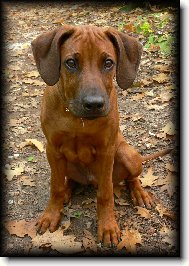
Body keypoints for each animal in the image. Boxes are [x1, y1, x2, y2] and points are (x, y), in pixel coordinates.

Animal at [31, 25, 171, 247]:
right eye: (71, 63)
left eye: (108, 63)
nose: (94, 104)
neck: (78, 120)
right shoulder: (52, 149)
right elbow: (56, 187)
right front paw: (51, 214)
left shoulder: (107, 152)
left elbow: (105, 194)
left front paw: (108, 227)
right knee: (68, 180)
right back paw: (68, 191)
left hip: (127, 154)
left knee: (131, 178)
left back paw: (140, 193)